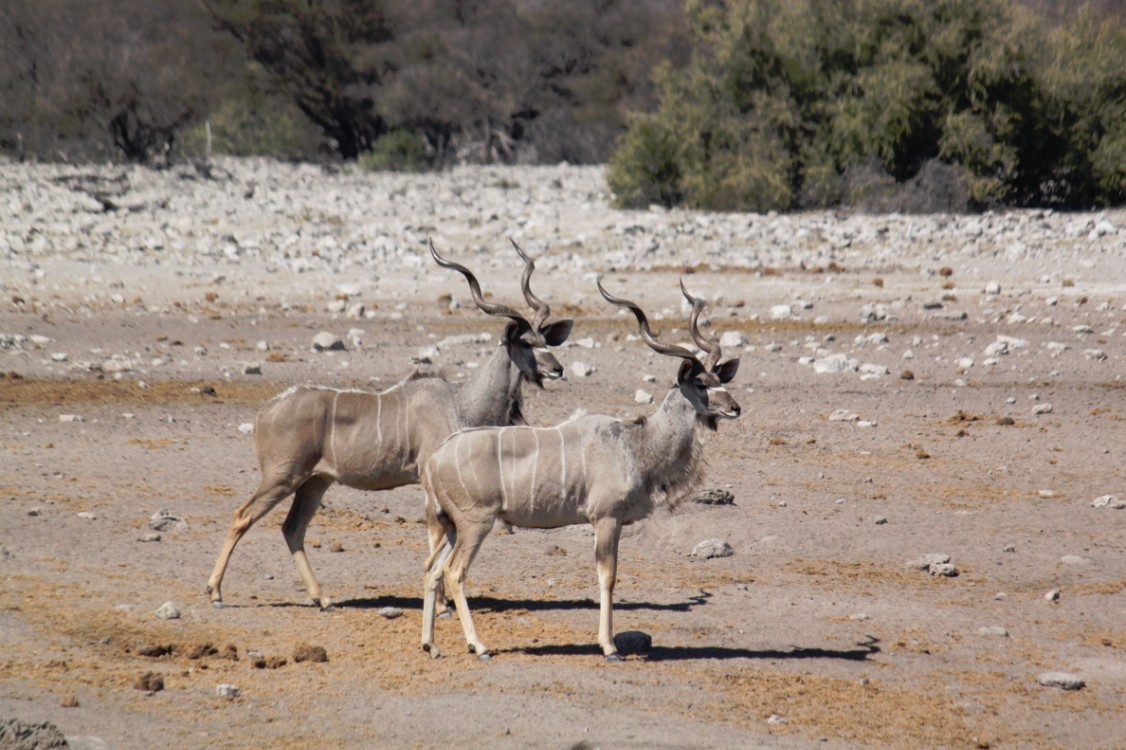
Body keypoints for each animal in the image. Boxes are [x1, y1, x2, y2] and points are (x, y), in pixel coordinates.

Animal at [206, 239, 572, 608]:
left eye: (546, 340)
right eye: (526, 342)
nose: (558, 369)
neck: (461, 401)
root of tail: (265, 412)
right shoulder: (427, 479)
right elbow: (436, 533)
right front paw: (442, 605)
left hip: (315, 482)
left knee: (292, 528)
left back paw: (321, 598)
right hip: (282, 476)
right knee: (242, 516)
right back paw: (216, 592)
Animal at [421, 277, 738, 657]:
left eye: (722, 380)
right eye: (701, 384)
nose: (734, 408)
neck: (636, 443)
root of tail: (436, 458)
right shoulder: (606, 519)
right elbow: (607, 576)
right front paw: (609, 646)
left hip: (452, 527)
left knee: (432, 569)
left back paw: (430, 645)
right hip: (475, 524)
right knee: (454, 572)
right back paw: (479, 645)